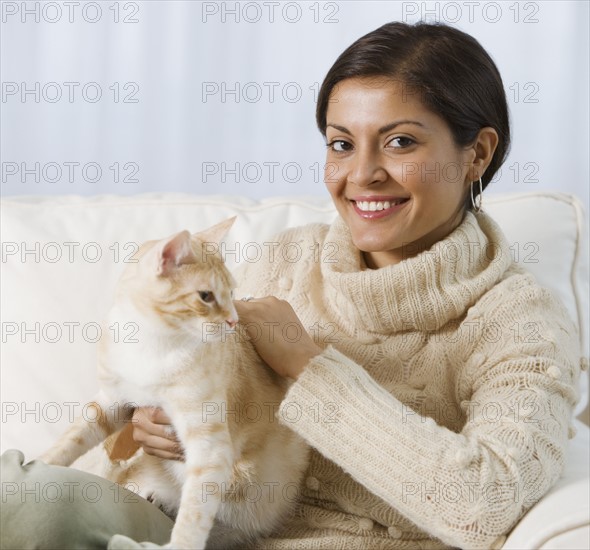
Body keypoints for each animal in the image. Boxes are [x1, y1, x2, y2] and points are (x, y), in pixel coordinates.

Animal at [38, 220, 310, 550]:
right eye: (206, 296)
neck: (150, 346)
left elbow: (194, 512)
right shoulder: (112, 402)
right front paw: (35, 465)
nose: (233, 321)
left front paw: (182, 541)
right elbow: (72, 438)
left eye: (231, 292)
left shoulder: (209, 443)